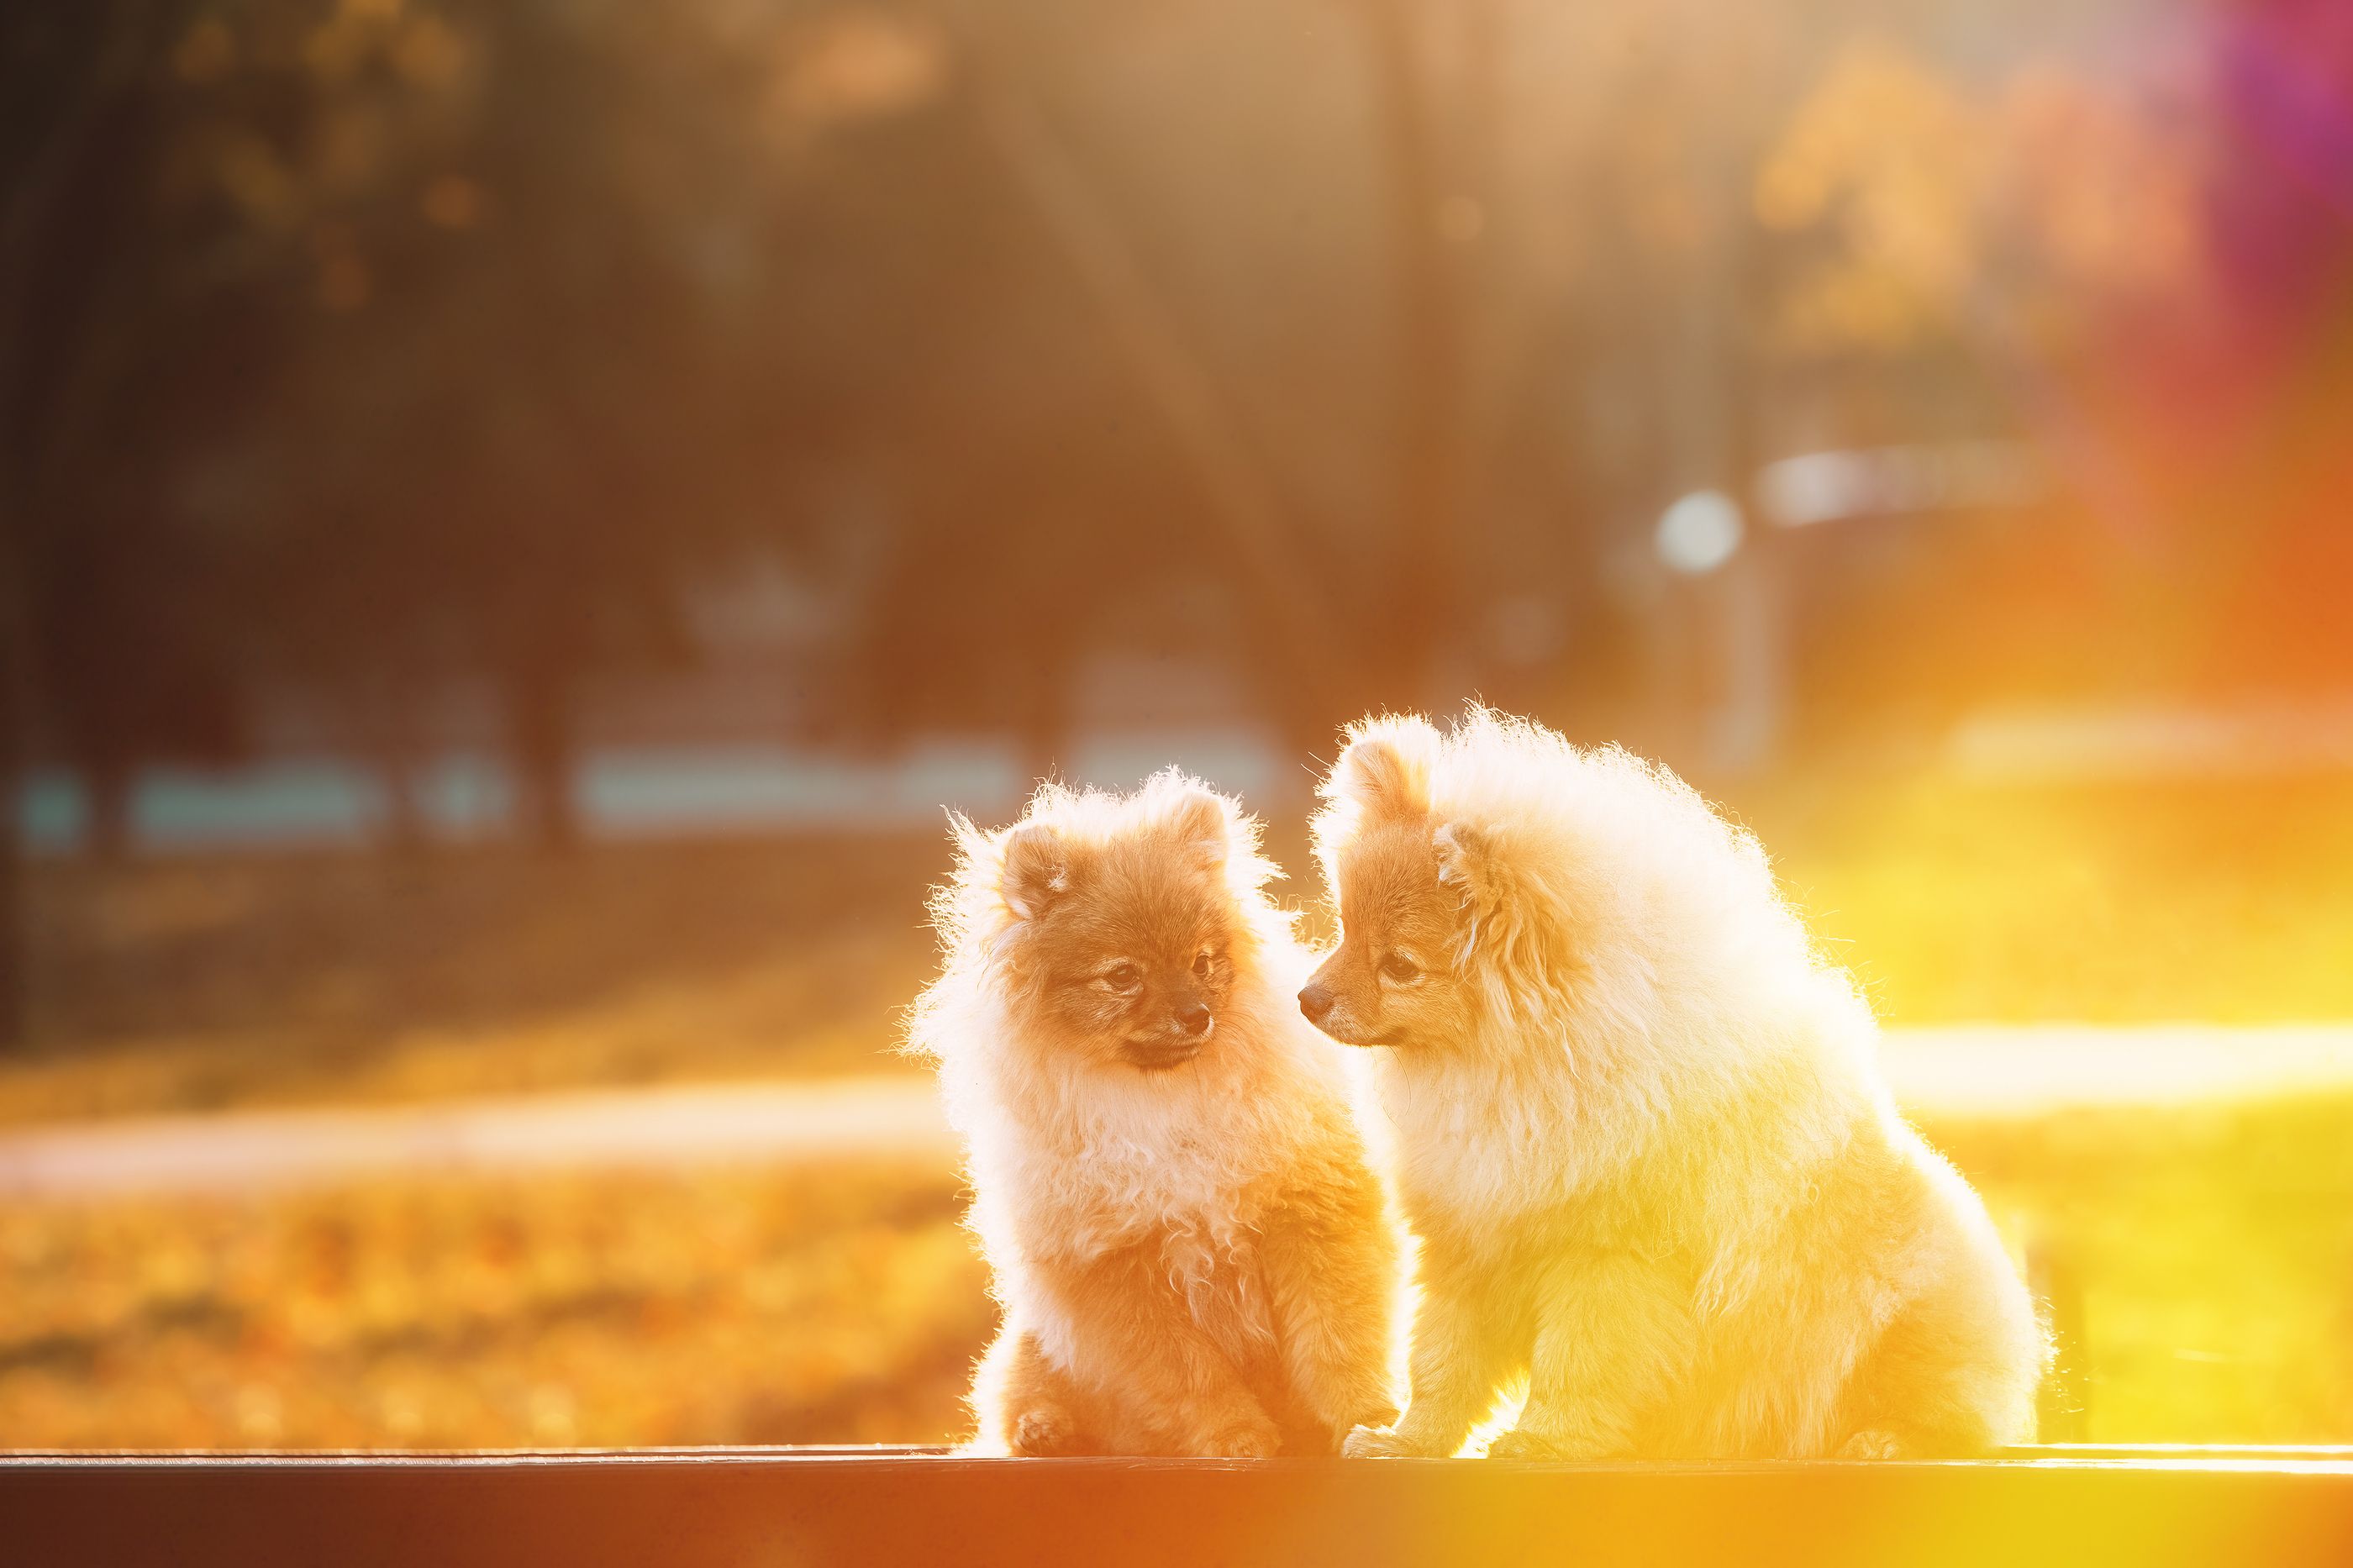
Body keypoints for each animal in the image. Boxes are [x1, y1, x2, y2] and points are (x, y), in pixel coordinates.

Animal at [908, 767, 1392, 1450]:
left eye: (1203, 962)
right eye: (1122, 978)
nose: (1196, 1014)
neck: (1161, 1103)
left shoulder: (1306, 1214)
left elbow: (1335, 1339)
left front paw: (1365, 1422)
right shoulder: (1115, 1273)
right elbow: (1192, 1377)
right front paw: (1240, 1440)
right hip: (1032, 1343)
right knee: (1018, 1394)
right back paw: (1046, 1429)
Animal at [1298, 706, 2051, 1450]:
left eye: (1399, 966)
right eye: (1343, 930)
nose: (1307, 998)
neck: (1517, 1075)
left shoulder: (1606, 1261)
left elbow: (1578, 1363)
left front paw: (1542, 1442)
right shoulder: (1467, 1245)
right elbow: (1441, 1363)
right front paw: (1407, 1440)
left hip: (1902, 1321)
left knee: (1945, 1420)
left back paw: (1883, 1440)